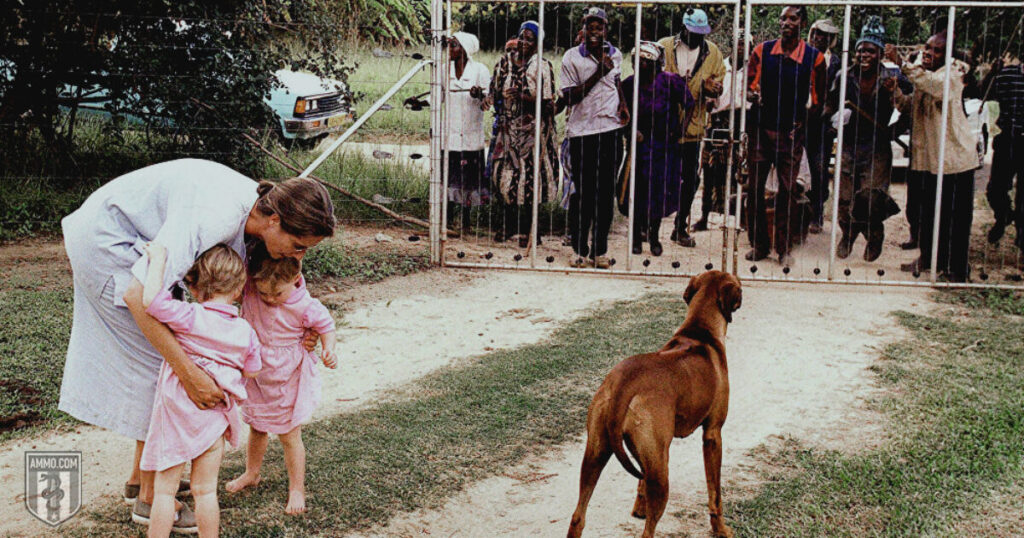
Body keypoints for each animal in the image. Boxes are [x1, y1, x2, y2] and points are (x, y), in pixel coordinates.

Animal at [569, 272, 745, 536]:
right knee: (648, 531)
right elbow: (715, 493)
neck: (699, 330)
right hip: (661, 474)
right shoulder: (713, 434)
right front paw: (720, 529)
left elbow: (641, 483)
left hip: (597, 453)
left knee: (578, 516)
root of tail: (624, 382)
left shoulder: (648, 455)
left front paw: (639, 508)